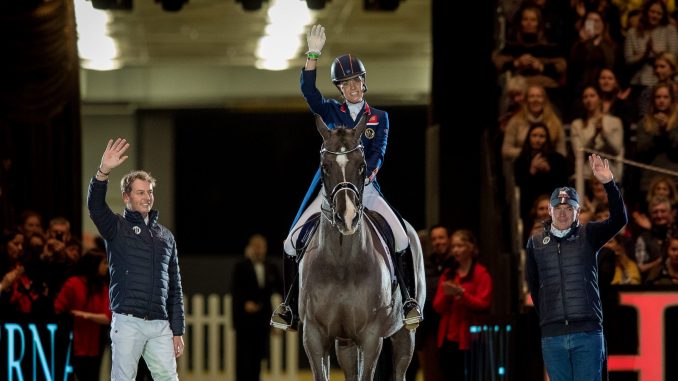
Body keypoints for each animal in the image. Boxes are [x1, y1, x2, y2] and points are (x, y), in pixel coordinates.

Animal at [302, 115, 428, 380]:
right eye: (325, 167)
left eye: (362, 166)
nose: (347, 217)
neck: (341, 263)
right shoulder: (314, 336)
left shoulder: (371, 338)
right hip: (346, 342)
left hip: (404, 335)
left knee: (399, 369)